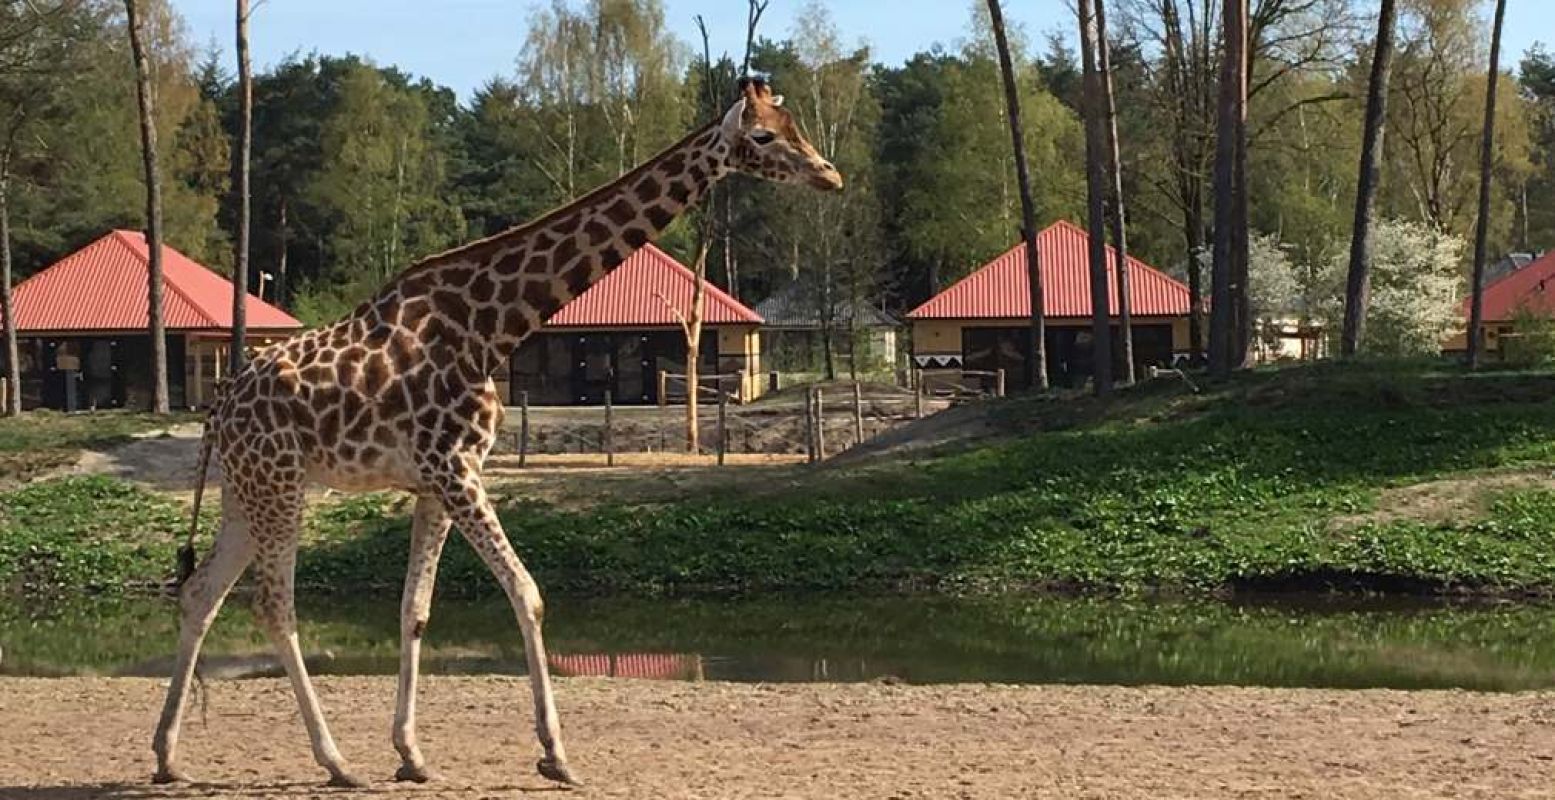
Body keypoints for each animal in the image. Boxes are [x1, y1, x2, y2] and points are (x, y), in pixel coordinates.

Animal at [148, 76, 839, 790]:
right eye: (763, 135)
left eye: (795, 124)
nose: (830, 175)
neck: (492, 326)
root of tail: (218, 409)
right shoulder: (457, 468)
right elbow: (527, 593)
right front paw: (556, 755)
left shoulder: (434, 481)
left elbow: (415, 611)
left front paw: (412, 754)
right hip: (281, 485)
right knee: (273, 606)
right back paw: (334, 761)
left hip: (246, 491)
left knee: (201, 592)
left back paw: (168, 755)